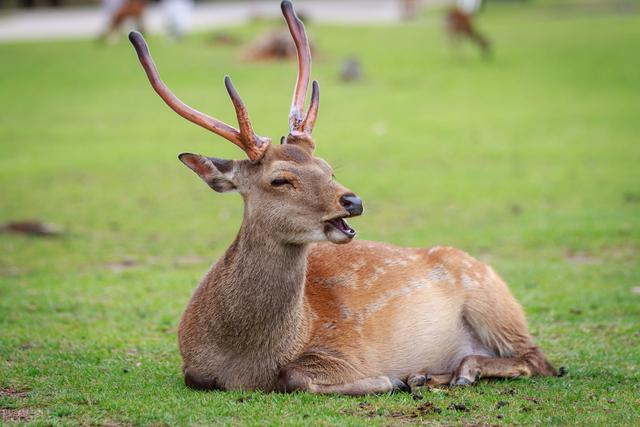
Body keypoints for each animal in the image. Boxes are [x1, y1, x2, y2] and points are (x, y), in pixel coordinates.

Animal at [130, 0, 560, 396]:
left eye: (327, 167)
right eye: (280, 179)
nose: (353, 201)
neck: (246, 363)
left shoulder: (347, 347)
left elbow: (295, 376)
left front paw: (387, 379)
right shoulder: (192, 366)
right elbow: (198, 377)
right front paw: (403, 378)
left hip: (492, 300)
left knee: (539, 360)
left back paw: (456, 372)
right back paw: (430, 376)